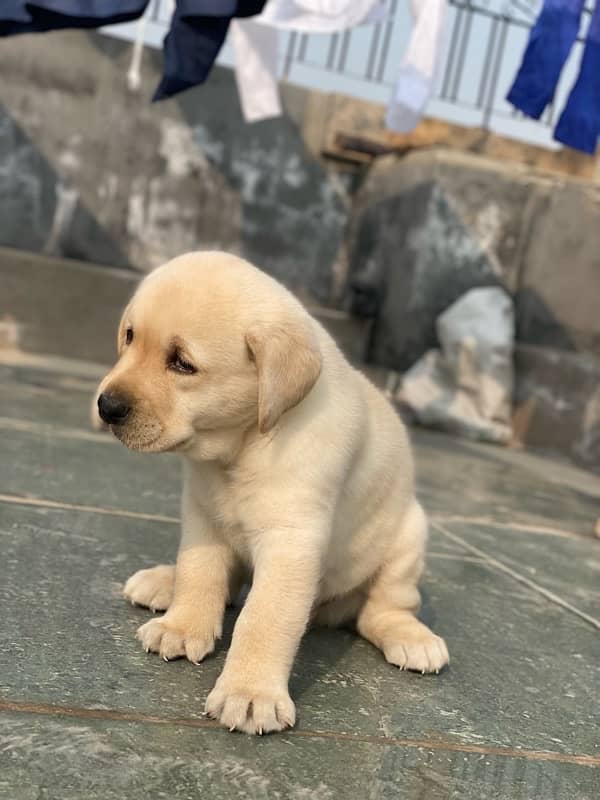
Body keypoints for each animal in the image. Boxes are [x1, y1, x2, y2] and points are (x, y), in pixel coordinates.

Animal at [94, 250, 448, 732]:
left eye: (182, 363)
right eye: (129, 337)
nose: (106, 406)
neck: (242, 446)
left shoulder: (291, 539)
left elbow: (264, 617)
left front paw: (249, 692)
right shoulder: (203, 514)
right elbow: (199, 573)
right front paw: (183, 626)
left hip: (408, 537)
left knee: (384, 607)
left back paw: (410, 636)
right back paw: (164, 582)